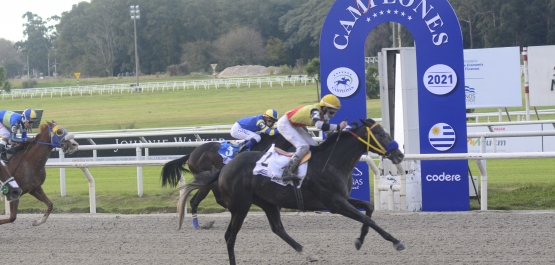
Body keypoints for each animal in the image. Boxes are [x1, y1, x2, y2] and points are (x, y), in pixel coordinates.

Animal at [181, 118, 404, 262]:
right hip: (240, 206)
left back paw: (308, 253)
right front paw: (396, 241)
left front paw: (359, 240)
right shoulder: (335, 203)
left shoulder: (341, 198)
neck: (331, 161)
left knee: (277, 228)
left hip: (268, 202)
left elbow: (368, 208)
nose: (400, 154)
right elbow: (368, 218)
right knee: (230, 236)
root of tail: (225, 167)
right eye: (381, 134)